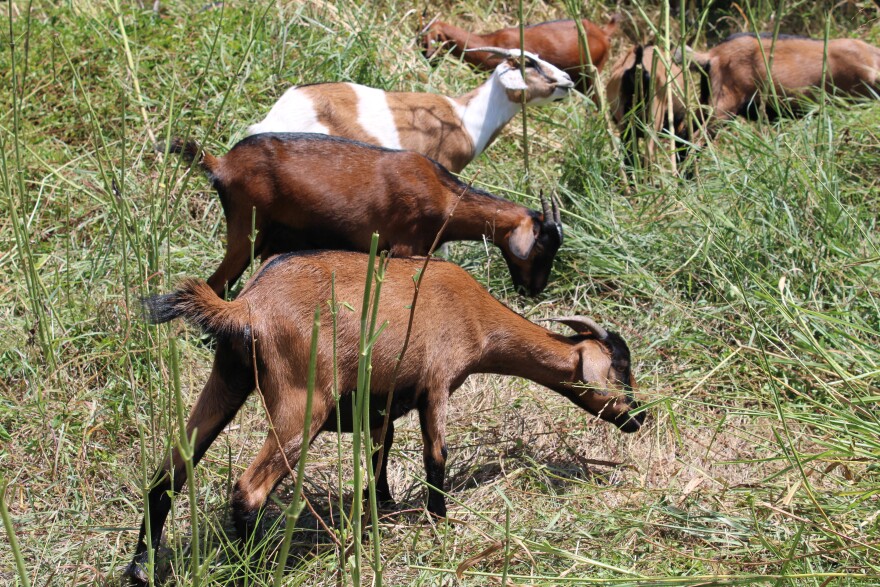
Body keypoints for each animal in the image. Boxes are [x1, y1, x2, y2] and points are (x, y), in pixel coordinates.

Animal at [124, 250, 644, 585]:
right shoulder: (436, 385)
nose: (639, 419)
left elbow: (379, 454)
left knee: (165, 476)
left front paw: (383, 512)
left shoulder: (377, 405)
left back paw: (140, 569)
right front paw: (439, 522)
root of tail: (247, 304)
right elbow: (436, 454)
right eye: (620, 369)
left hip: (228, 379)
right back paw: (255, 569)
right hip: (300, 401)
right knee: (248, 489)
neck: (475, 313)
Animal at [166, 132, 564, 297]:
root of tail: (222, 164)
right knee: (215, 282)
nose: (535, 290)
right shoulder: (403, 248)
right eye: (543, 246)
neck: (445, 195)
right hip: (246, 227)